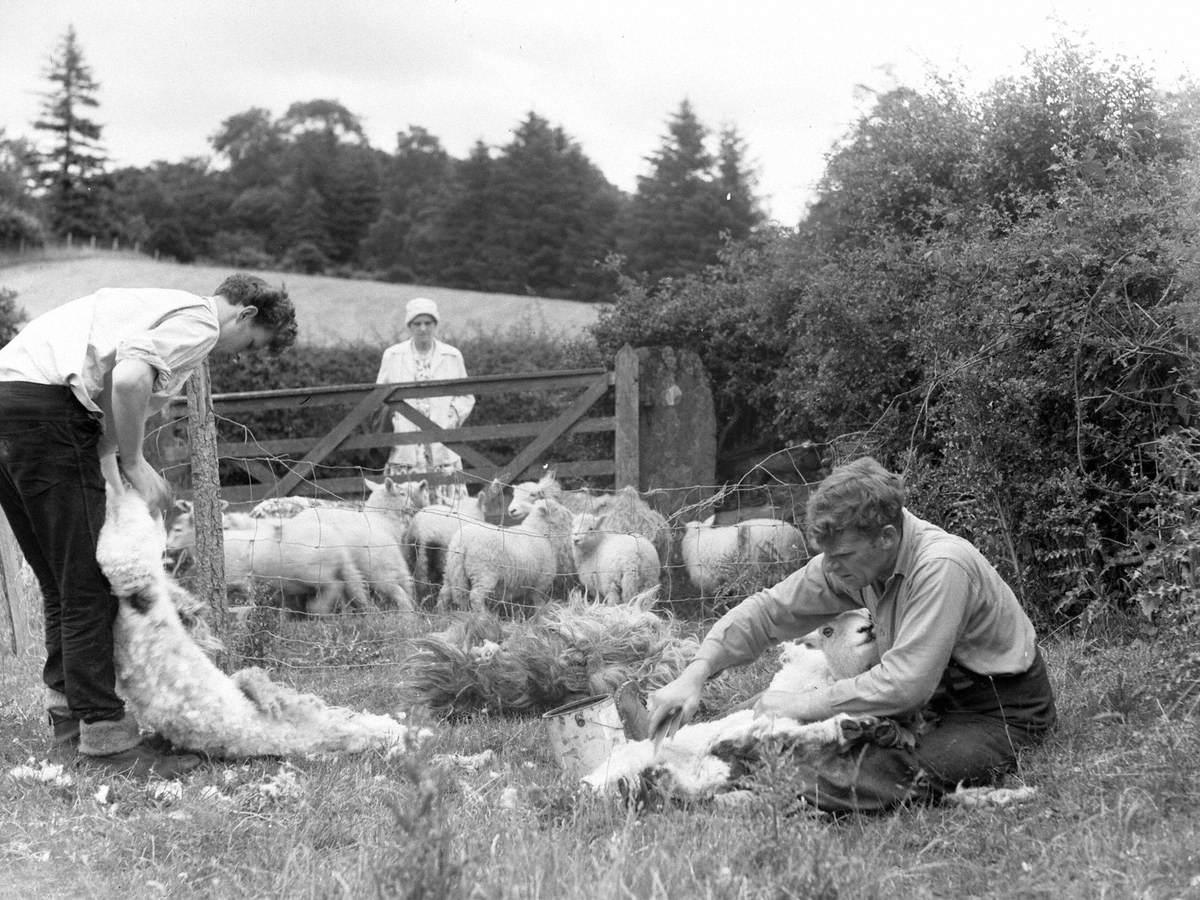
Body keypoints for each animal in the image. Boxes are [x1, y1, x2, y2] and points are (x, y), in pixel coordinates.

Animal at [439, 496, 573, 619]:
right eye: (557, 509)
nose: (571, 515)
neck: (539, 531)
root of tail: (462, 542)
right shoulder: (541, 581)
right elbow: (538, 600)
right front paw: (541, 614)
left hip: (452, 569)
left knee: (444, 593)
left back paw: (442, 615)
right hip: (483, 572)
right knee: (475, 596)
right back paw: (484, 617)